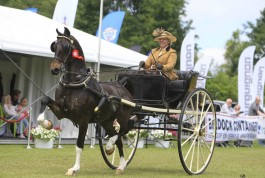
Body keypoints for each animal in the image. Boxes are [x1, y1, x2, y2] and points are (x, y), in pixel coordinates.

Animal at [37, 27, 134, 176]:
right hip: (105, 121)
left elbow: (79, 145)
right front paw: (46, 123)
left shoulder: (83, 120)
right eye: (54, 45)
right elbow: (44, 100)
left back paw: (114, 153)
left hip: (122, 118)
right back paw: (119, 162)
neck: (73, 82)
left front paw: (74, 168)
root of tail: (122, 87)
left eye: (66, 46)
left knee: (121, 134)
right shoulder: (61, 112)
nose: (54, 69)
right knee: (117, 137)